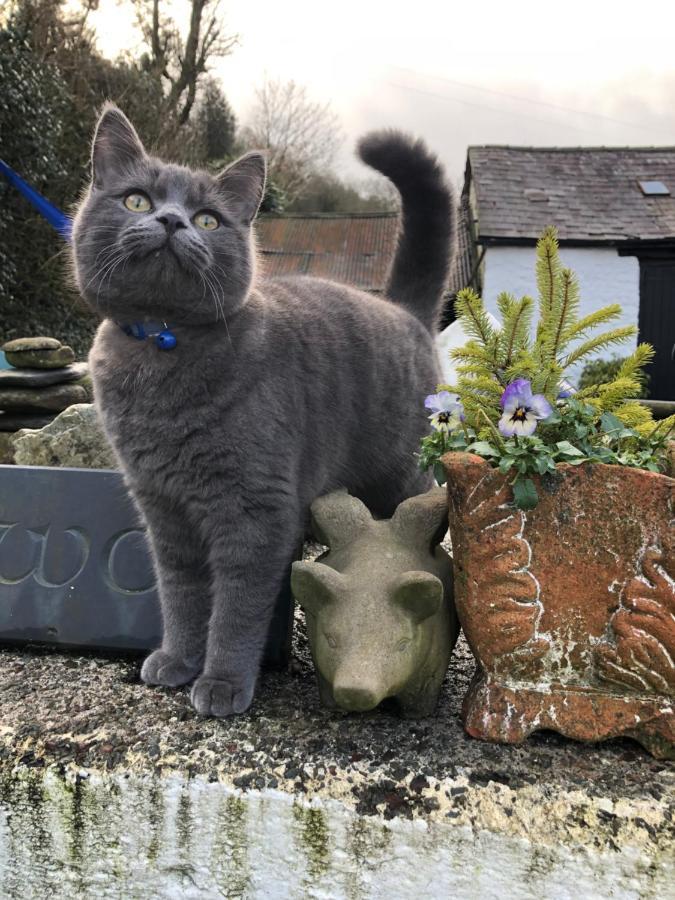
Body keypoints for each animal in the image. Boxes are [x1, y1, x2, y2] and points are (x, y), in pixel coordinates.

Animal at [71, 103, 454, 716]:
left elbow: (236, 606)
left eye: (208, 220)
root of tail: (405, 311)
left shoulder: (255, 510)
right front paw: (177, 660)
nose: (173, 221)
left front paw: (223, 683)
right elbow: (181, 595)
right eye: (137, 201)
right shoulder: (163, 510)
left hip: (399, 474)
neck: (161, 347)